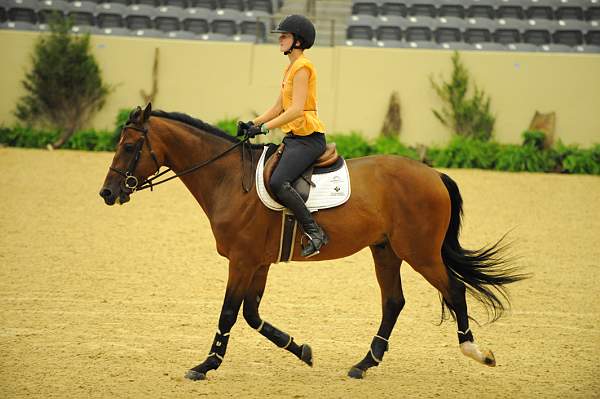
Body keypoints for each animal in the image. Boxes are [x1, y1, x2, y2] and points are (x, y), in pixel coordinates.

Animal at [98, 104, 524, 382]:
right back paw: (364, 363)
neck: (230, 181)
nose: (107, 193)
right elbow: (252, 315)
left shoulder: (241, 260)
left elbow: (229, 313)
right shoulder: (258, 263)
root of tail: (433, 174)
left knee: (453, 291)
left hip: (419, 253)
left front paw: (206, 365)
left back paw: (477, 352)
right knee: (394, 302)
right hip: (386, 251)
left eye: (130, 147)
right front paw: (300, 350)